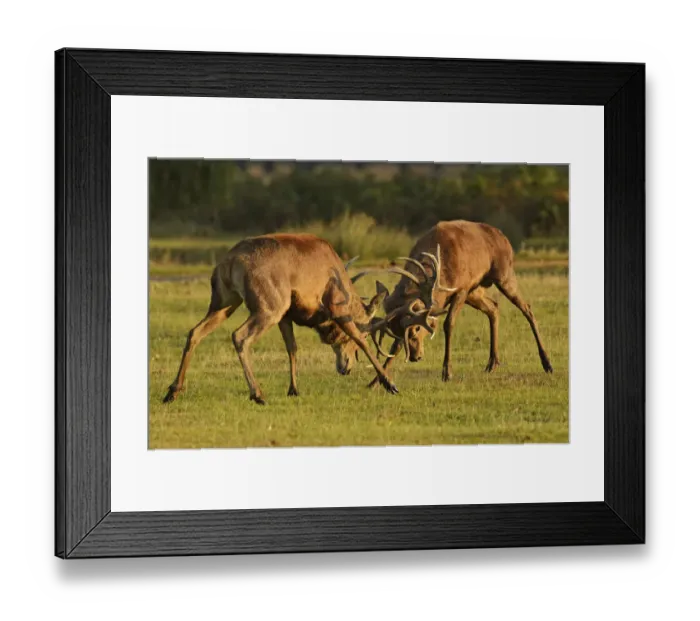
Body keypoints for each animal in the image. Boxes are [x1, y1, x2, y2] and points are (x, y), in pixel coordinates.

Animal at [162, 233, 398, 406]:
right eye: (367, 330)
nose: (345, 368)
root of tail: (230, 262)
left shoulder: (286, 316)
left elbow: (292, 347)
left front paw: (293, 389)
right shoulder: (336, 306)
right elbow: (359, 339)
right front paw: (390, 384)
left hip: (224, 303)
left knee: (195, 332)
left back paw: (172, 392)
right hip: (269, 307)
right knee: (239, 336)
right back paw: (258, 394)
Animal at [366, 220, 554, 386]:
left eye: (417, 329)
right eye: (397, 333)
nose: (414, 357)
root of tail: (504, 237)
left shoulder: (461, 289)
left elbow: (448, 324)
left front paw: (447, 372)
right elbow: (395, 347)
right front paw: (378, 381)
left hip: (504, 275)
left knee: (527, 308)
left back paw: (547, 363)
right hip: (475, 291)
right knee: (494, 307)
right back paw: (492, 362)